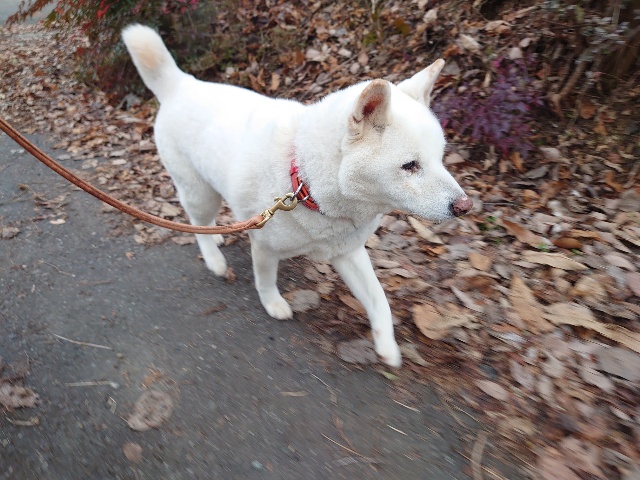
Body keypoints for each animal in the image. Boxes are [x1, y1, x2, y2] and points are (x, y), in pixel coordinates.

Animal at [122, 25, 472, 367]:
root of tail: (180, 83)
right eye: (410, 166)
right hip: (200, 193)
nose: (465, 206)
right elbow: (265, 280)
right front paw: (273, 304)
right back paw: (214, 258)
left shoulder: (348, 252)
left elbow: (379, 300)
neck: (304, 182)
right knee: (195, 222)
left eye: (440, 158)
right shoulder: (264, 246)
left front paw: (387, 345)